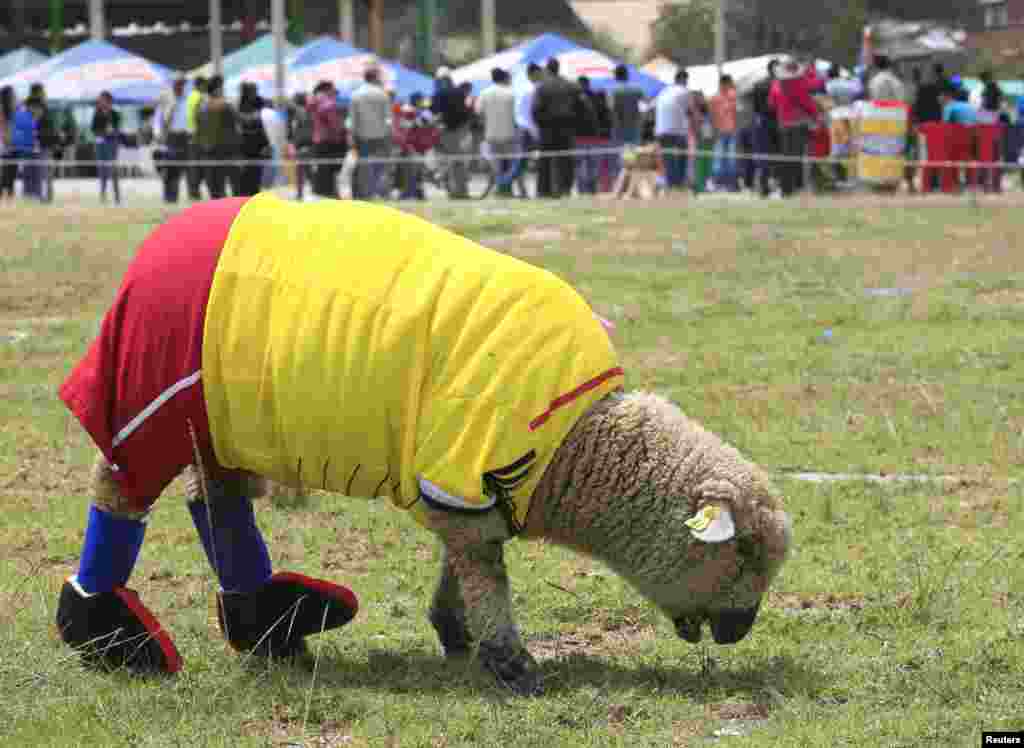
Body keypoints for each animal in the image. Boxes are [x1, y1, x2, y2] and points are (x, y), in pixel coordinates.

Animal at [54, 192, 790, 692]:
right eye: (745, 553)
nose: (740, 631)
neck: (575, 443)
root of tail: (165, 233)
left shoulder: (467, 485)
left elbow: (467, 560)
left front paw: (455, 630)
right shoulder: (464, 465)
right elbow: (486, 575)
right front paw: (510, 662)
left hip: (223, 420)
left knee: (219, 503)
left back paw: (273, 626)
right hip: (153, 393)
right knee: (119, 494)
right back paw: (111, 637)